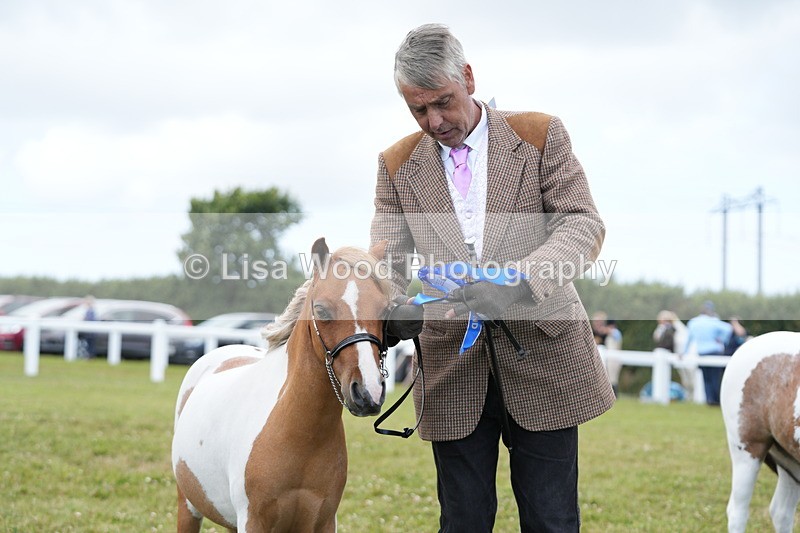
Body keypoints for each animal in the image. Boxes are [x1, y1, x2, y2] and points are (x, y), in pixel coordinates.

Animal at [171, 238, 391, 532]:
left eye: (385, 311)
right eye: (321, 310)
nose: (368, 393)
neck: (298, 433)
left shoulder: (323, 521)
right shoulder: (253, 521)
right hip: (188, 507)